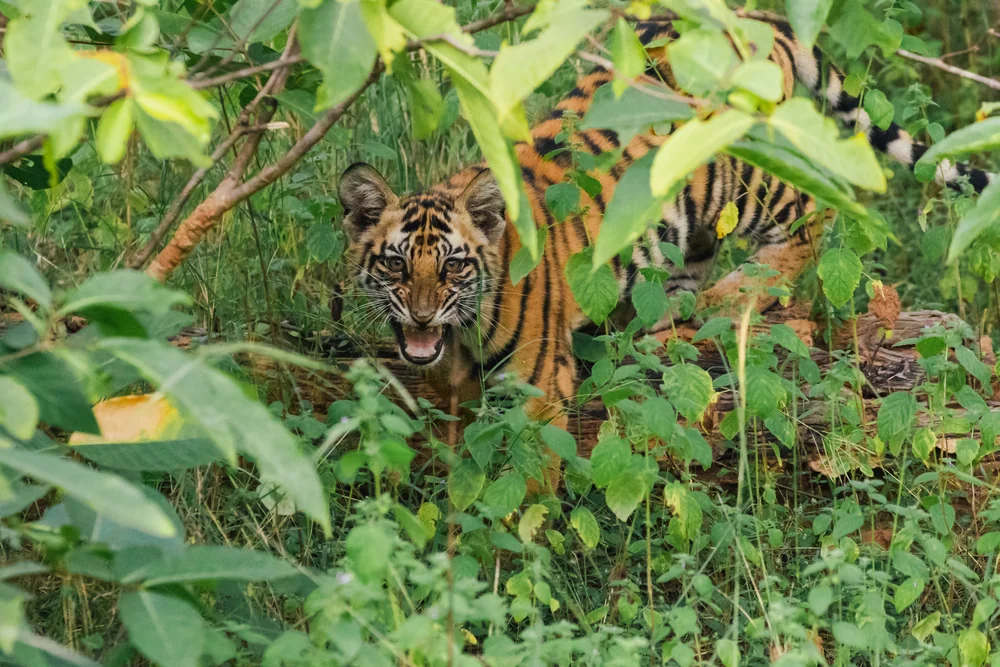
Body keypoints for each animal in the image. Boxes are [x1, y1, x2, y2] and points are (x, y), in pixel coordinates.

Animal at [338, 15, 994, 492]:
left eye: (453, 264)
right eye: (396, 263)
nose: (422, 316)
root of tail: (754, 18)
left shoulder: (543, 386)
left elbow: (530, 476)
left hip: (747, 177)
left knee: (817, 212)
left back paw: (735, 295)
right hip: (688, 216)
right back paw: (668, 326)